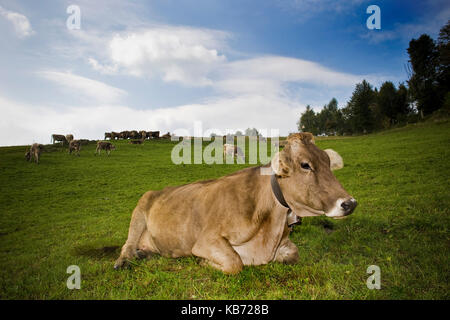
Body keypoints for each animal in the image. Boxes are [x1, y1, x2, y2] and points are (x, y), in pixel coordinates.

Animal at [114, 131, 356, 274]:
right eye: (305, 165)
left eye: (327, 162)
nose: (349, 203)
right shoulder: (206, 240)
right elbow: (234, 263)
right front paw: (204, 262)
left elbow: (293, 254)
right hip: (139, 212)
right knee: (127, 245)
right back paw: (125, 260)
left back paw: (144, 253)